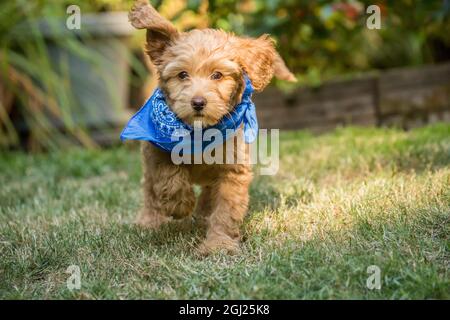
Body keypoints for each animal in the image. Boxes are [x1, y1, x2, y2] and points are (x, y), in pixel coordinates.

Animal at [128, 0, 298, 255]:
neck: (199, 133)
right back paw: (150, 220)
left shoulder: (233, 169)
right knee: (150, 189)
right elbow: (169, 178)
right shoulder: (156, 150)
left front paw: (218, 243)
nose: (198, 102)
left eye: (217, 75)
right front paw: (180, 205)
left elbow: (226, 211)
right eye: (182, 75)